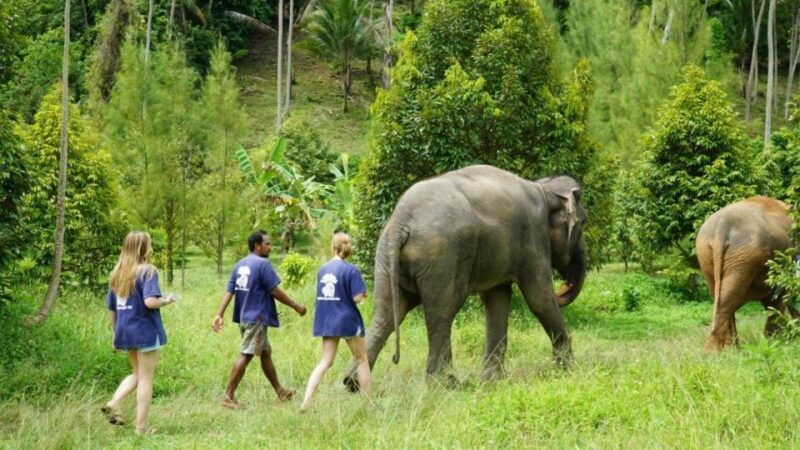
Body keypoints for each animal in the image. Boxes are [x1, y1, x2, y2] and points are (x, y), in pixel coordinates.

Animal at [343, 165, 587, 389]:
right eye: (583, 223)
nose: (564, 287)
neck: (544, 188)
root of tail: (401, 221)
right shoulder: (533, 233)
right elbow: (539, 298)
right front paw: (568, 371)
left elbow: (497, 299)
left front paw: (492, 381)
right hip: (441, 255)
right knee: (441, 313)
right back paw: (447, 385)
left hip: (386, 256)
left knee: (387, 313)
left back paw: (353, 383)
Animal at [696, 196, 799, 352]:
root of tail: (722, 226)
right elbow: (780, 297)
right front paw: (773, 342)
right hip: (745, 255)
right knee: (728, 300)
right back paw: (714, 352)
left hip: (707, 255)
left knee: (721, 297)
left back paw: (730, 350)